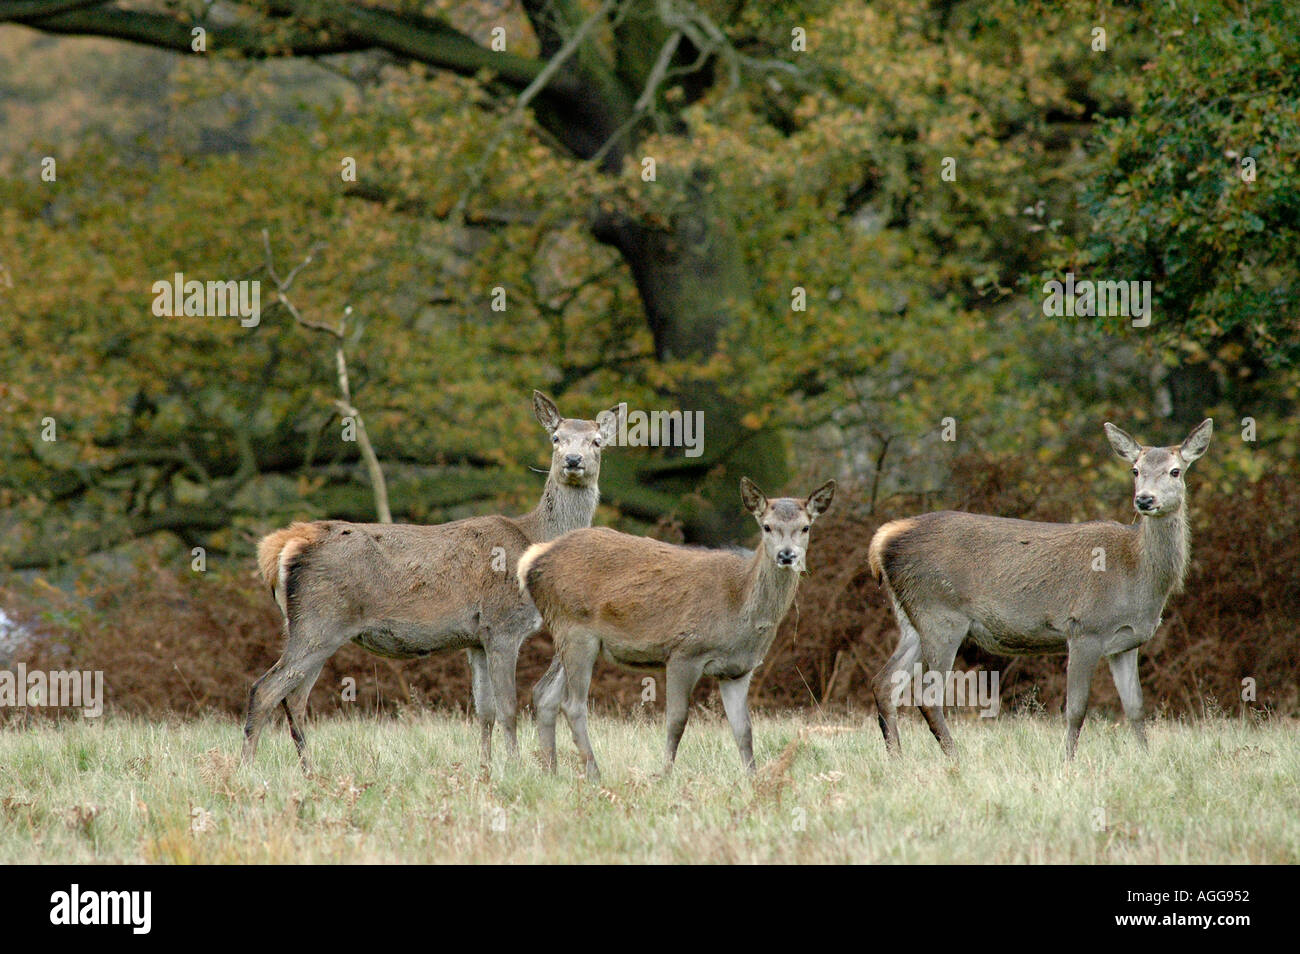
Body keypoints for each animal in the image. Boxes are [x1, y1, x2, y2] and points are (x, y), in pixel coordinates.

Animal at [244, 392, 618, 774]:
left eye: (596, 441)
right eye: (556, 438)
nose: (573, 460)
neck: (533, 539)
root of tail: (284, 545)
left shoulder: (475, 639)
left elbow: (484, 711)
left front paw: (485, 768)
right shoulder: (502, 624)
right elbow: (509, 709)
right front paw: (513, 768)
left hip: (308, 626)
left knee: (294, 698)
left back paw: (309, 771)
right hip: (320, 620)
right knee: (265, 689)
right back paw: (249, 769)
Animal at [517, 478, 832, 785]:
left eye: (805, 527)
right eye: (766, 526)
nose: (786, 555)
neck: (739, 606)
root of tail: (530, 562)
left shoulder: (739, 670)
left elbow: (744, 729)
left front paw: (753, 780)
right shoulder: (684, 651)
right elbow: (677, 720)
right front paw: (664, 776)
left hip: (566, 633)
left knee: (545, 693)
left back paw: (550, 772)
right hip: (576, 630)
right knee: (573, 704)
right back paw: (594, 773)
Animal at [868, 418, 1211, 764]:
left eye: (1175, 471)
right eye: (1135, 470)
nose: (1144, 500)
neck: (1139, 577)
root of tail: (882, 540)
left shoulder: (1126, 643)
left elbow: (1136, 709)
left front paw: (1146, 759)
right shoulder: (1085, 628)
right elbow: (1076, 710)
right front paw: (1068, 762)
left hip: (913, 620)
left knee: (883, 682)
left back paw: (897, 758)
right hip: (941, 613)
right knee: (927, 695)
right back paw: (956, 758)